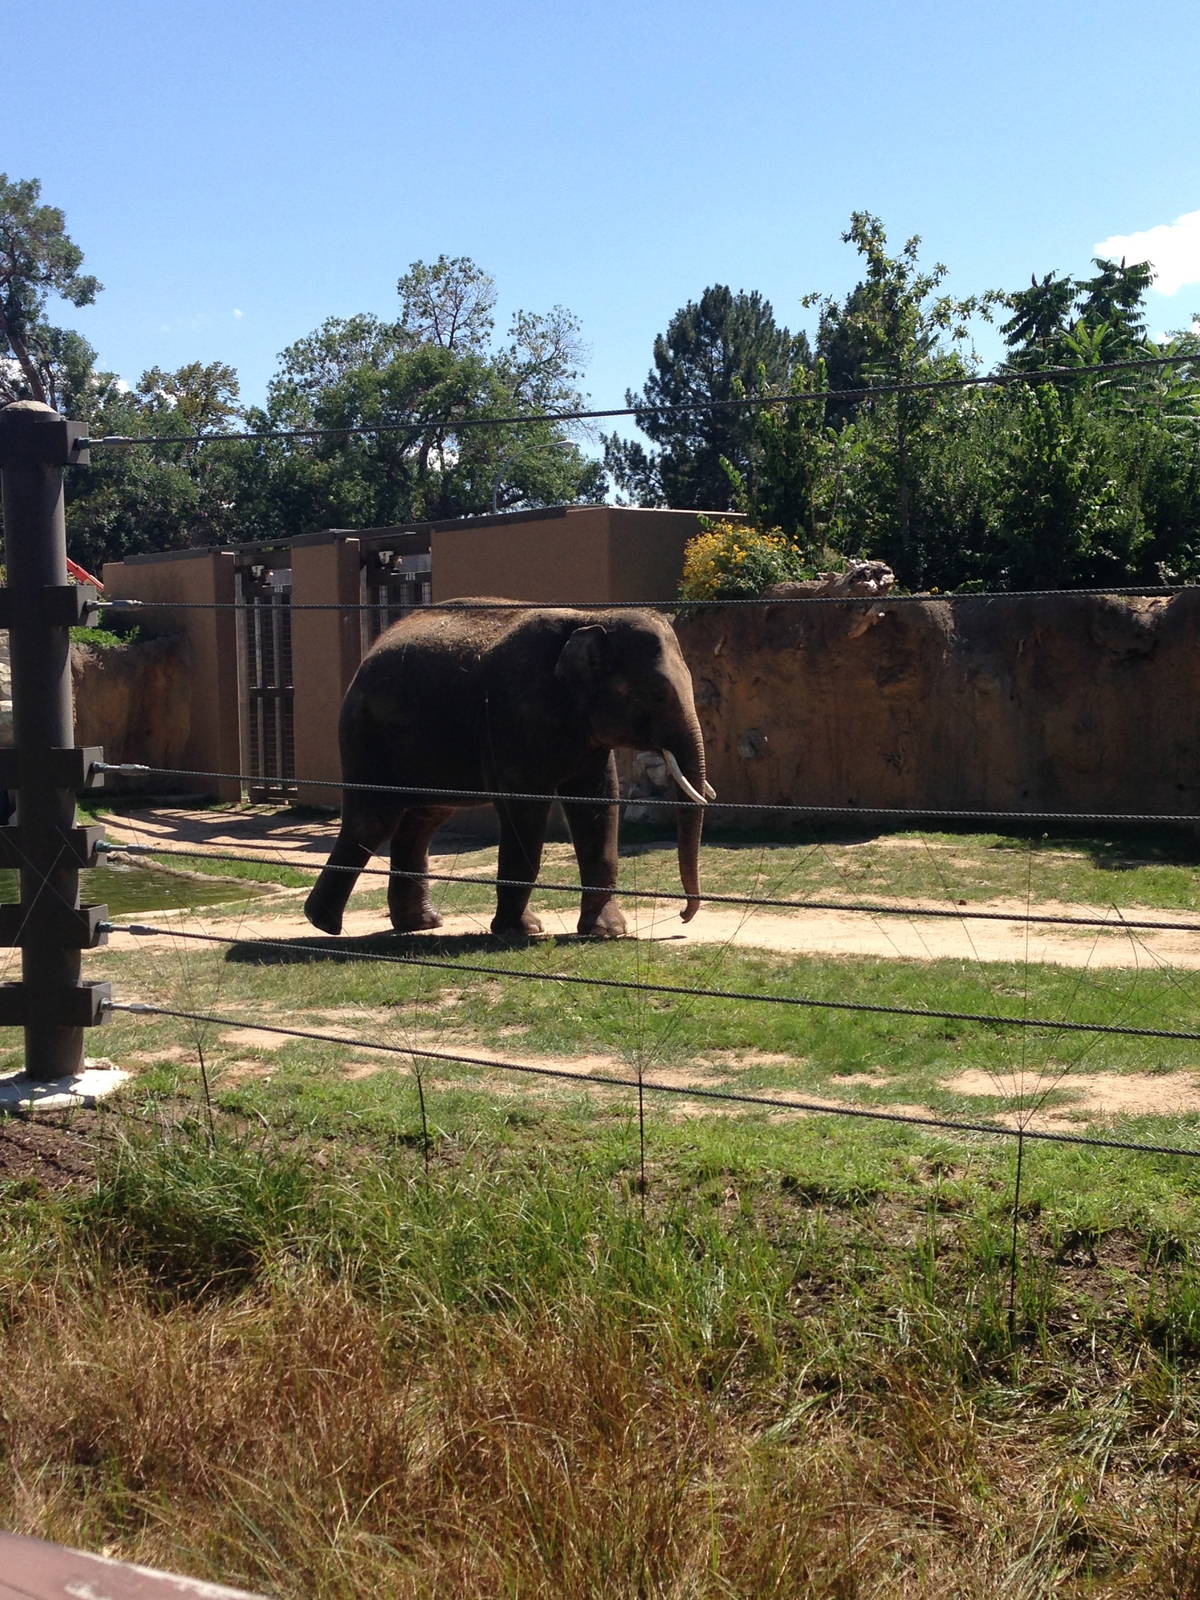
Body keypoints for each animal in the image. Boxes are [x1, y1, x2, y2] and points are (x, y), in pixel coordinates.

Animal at [303, 600, 712, 940]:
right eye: (657, 695)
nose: (683, 917)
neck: (590, 618)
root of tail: (370, 651)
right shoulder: (514, 713)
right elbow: (525, 808)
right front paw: (523, 932)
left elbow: (597, 803)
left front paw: (606, 932)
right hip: (366, 734)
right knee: (374, 819)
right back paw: (323, 923)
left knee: (424, 819)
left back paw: (421, 924)